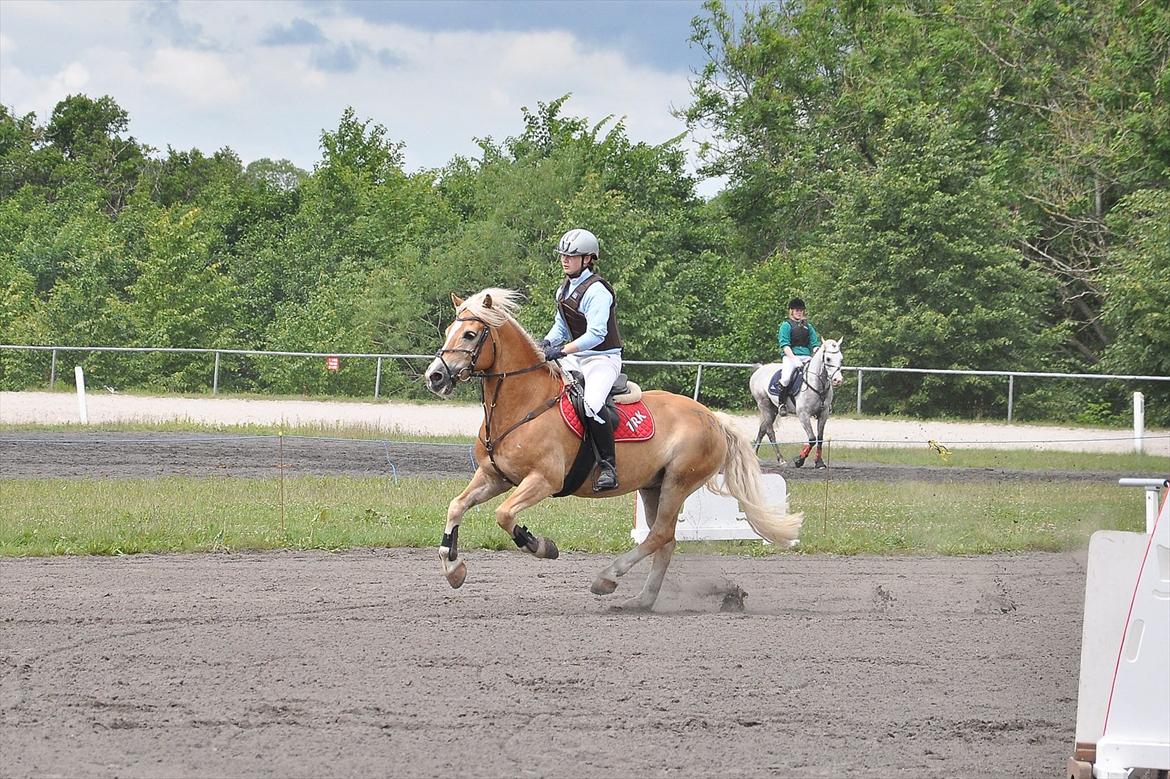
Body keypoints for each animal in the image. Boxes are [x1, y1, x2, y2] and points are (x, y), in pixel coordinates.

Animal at [423, 287, 804, 608]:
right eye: (448, 331)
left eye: (470, 334)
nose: (435, 377)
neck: (523, 404)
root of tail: (712, 417)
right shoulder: (494, 477)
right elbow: (456, 506)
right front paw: (453, 569)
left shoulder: (543, 480)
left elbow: (504, 515)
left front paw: (540, 546)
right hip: (654, 487)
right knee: (665, 540)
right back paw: (641, 601)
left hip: (678, 482)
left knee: (659, 535)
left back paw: (607, 578)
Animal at [753, 339, 847, 467]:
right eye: (828, 359)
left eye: (841, 358)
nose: (838, 380)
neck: (817, 384)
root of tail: (760, 369)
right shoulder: (803, 415)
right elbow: (812, 438)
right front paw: (799, 460)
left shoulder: (824, 414)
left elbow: (820, 438)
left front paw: (819, 462)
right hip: (764, 406)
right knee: (769, 431)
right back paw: (781, 459)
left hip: (773, 409)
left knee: (763, 429)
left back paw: (754, 454)